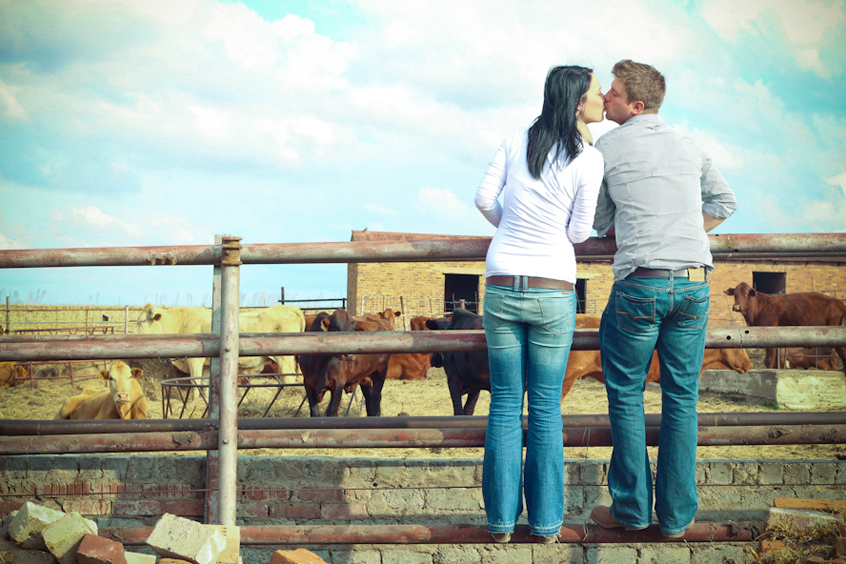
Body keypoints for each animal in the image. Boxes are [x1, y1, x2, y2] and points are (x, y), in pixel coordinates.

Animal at [135, 304, 306, 384]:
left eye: (142, 320)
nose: (133, 335)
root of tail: (288, 307)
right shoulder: (206, 365)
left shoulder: (194, 361)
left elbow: (194, 381)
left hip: (284, 359)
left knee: (288, 377)